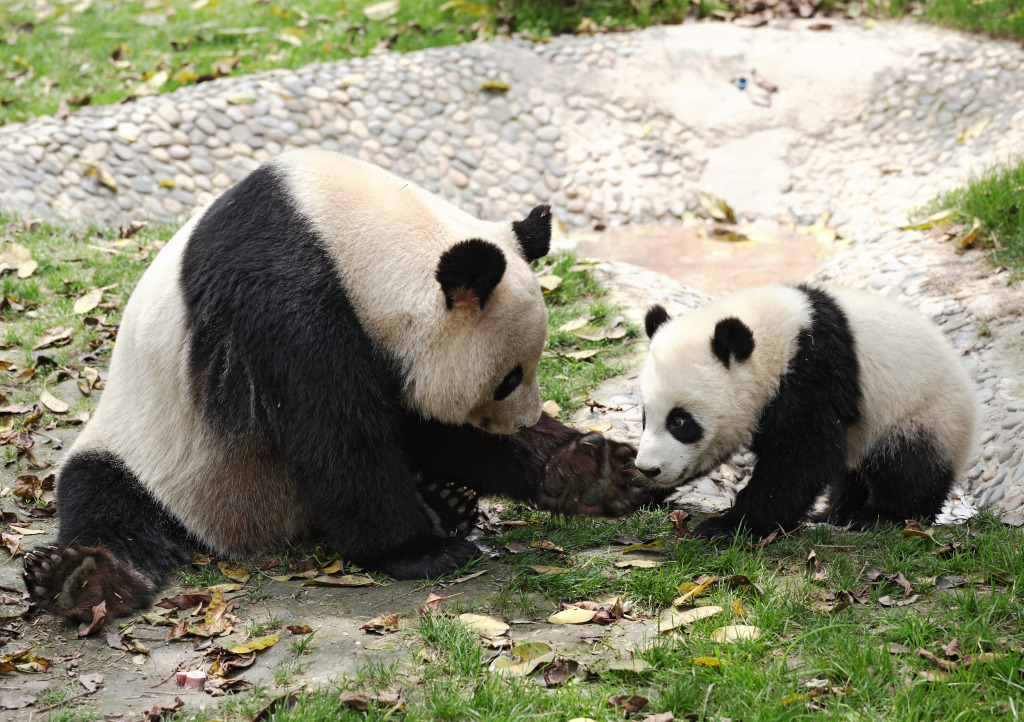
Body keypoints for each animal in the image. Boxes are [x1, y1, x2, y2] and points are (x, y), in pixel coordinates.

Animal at [25, 149, 655, 622]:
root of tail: (253, 535)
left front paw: (583, 468)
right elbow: (338, 434)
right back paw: (80, 580)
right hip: (155, 454)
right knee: (107, 502)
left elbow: (423, 425)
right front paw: (418, 551)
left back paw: (486, 494)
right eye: (508, 378)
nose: (521, 422)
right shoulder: (282, 302)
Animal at [638, 284, 974, 536]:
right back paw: (836, 514)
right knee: (853, 473)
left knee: (908, 466)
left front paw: (729, 526)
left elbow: (803, 454)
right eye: (644, 417)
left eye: (680, 421)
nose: (649, 469)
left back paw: (880, 516)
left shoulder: (813, 372)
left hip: (922, 411)